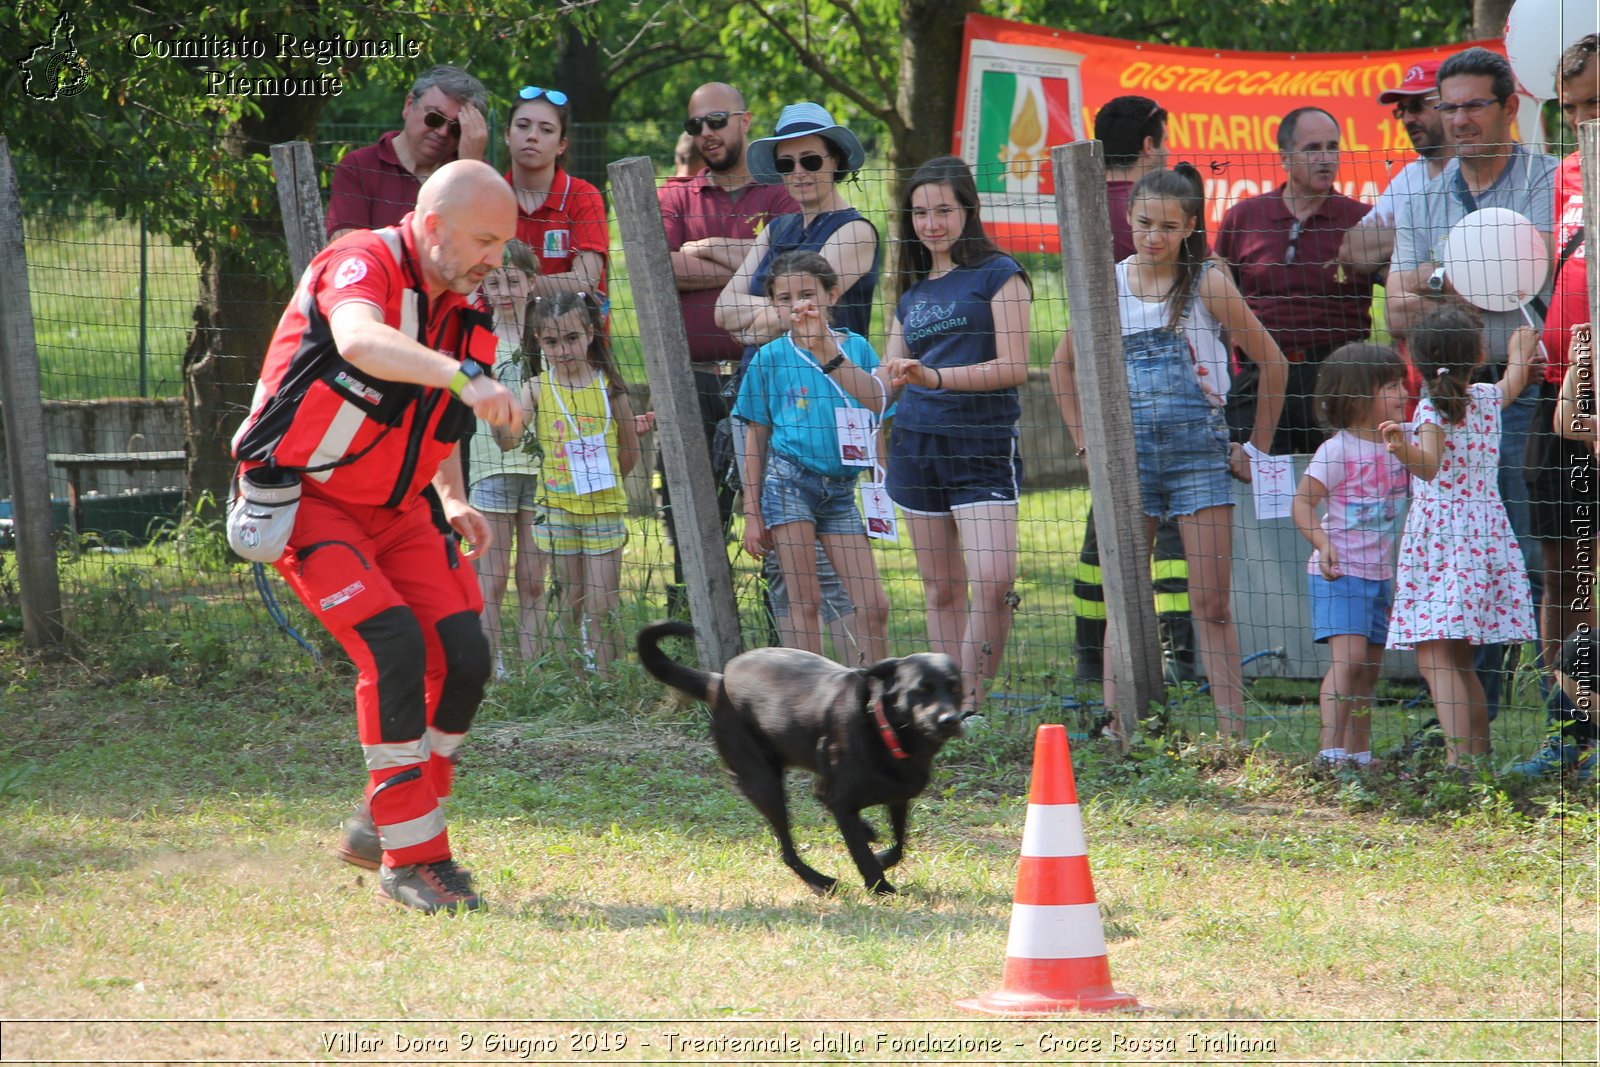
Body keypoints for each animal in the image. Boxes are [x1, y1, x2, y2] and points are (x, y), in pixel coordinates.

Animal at [636, 620, 960, 895]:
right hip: (764, 783)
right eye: (920, 690)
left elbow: (899, 842)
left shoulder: (897, 797)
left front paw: (879, 853)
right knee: (786, 850)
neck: (882, 725)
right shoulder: (842, 802)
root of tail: (718, 681)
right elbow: (861, 853)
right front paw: (881, 887)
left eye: (955, 687)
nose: (950, 720)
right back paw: (820, 881)